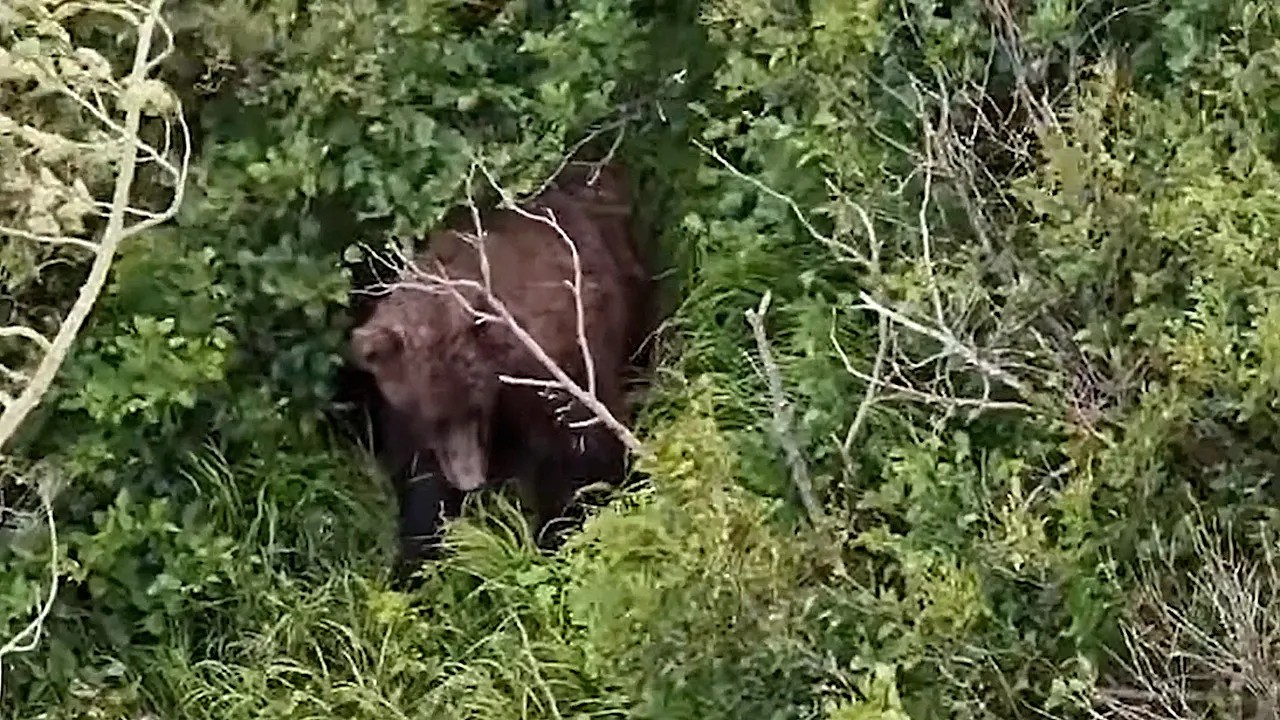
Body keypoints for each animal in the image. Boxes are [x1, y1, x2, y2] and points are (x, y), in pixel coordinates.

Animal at [346, 161, 652, 584]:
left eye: (473, 408)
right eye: (432, 417)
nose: (470, 480)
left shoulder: (551, 365)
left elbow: (582, 452)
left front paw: (557, 535)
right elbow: (419, 481)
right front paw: (414, 560)